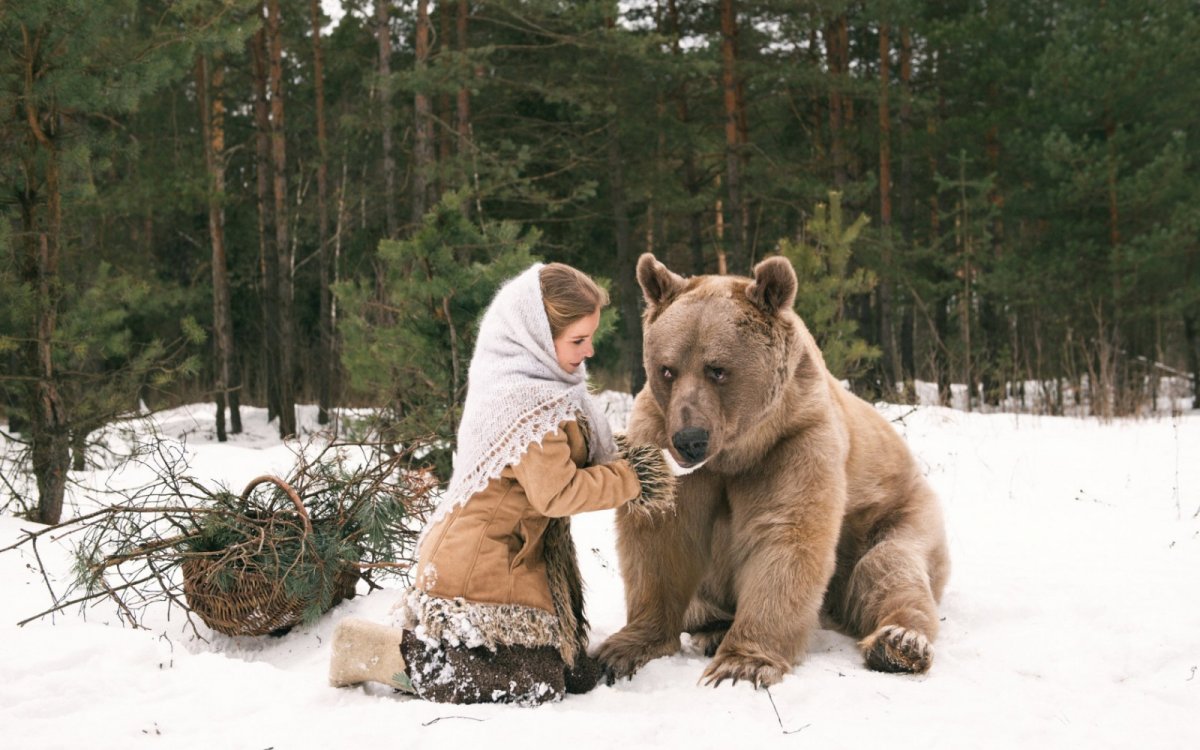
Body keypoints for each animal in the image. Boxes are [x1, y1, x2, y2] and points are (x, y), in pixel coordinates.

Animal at [594, 253, 950, 688]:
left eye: (717, 369)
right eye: (667, 369)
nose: (690, 439)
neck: (736, 452)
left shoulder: (793, 442)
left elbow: (785, 533)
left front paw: (742, 664)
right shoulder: (661, 437)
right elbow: (661, 534)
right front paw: (622, 649)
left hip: (898, 512)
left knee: (889, 567)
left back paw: (899, 643)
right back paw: (712, 626)